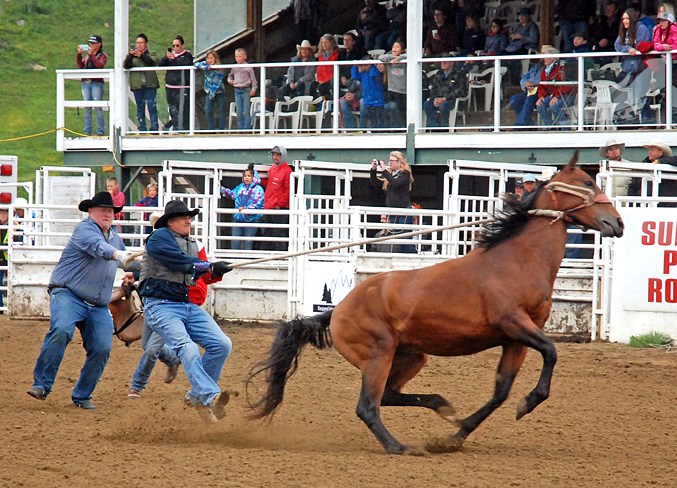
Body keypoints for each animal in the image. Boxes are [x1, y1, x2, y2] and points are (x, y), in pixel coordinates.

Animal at [248, 155, 624, 454]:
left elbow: (501, 391)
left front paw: (455, 435)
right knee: (368, 406)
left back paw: (440, 405)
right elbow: (551, 352)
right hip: (378, 355)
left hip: (411, 356)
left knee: (388, 396)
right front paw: (528, 403)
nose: (617, 223)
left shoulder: (515, 339)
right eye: (588, 182)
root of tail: (337, 311)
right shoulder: (515, 324)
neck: (516, 260)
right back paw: (399, 447)